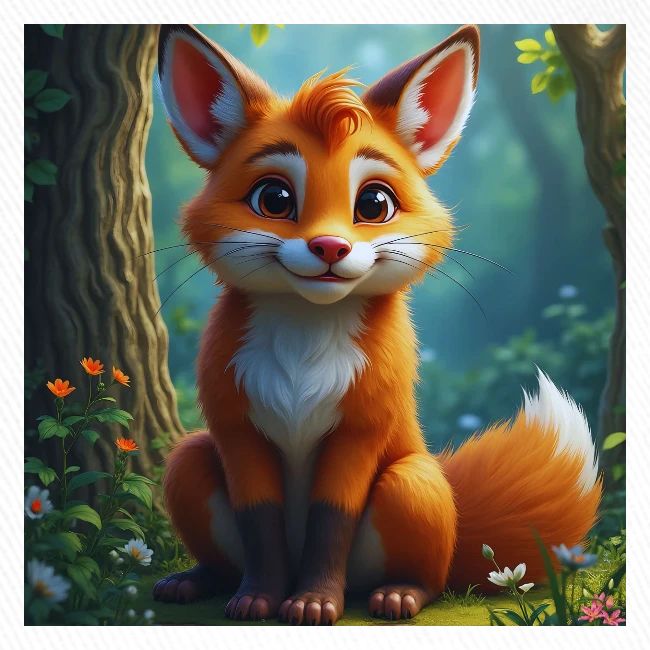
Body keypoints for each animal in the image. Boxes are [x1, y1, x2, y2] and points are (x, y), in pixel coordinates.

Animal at [152, 24, 602, 624]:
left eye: (374, 204)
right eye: (274, 198)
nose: (329, 246)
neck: (304, 348)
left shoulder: (361, 427)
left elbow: (330, 520)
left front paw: (315, 602)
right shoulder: (235, 427)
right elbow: (261, 521)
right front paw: (258, 599)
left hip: (410, 484)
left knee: (430, 578)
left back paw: (398, 594)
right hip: (188, 461)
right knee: (219, 545)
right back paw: (197, 579)